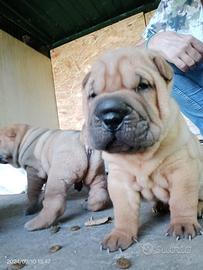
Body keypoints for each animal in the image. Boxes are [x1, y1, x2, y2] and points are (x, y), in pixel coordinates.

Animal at [81, 47, 203, 252]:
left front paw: (183, 224)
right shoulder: (119, 180)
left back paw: (198, 208)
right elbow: (123, 212)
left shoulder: (182, 169)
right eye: (93, 95)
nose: (110, 116)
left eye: (143, 86)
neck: (138, 154)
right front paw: (120, 234)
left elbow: (182, 200)